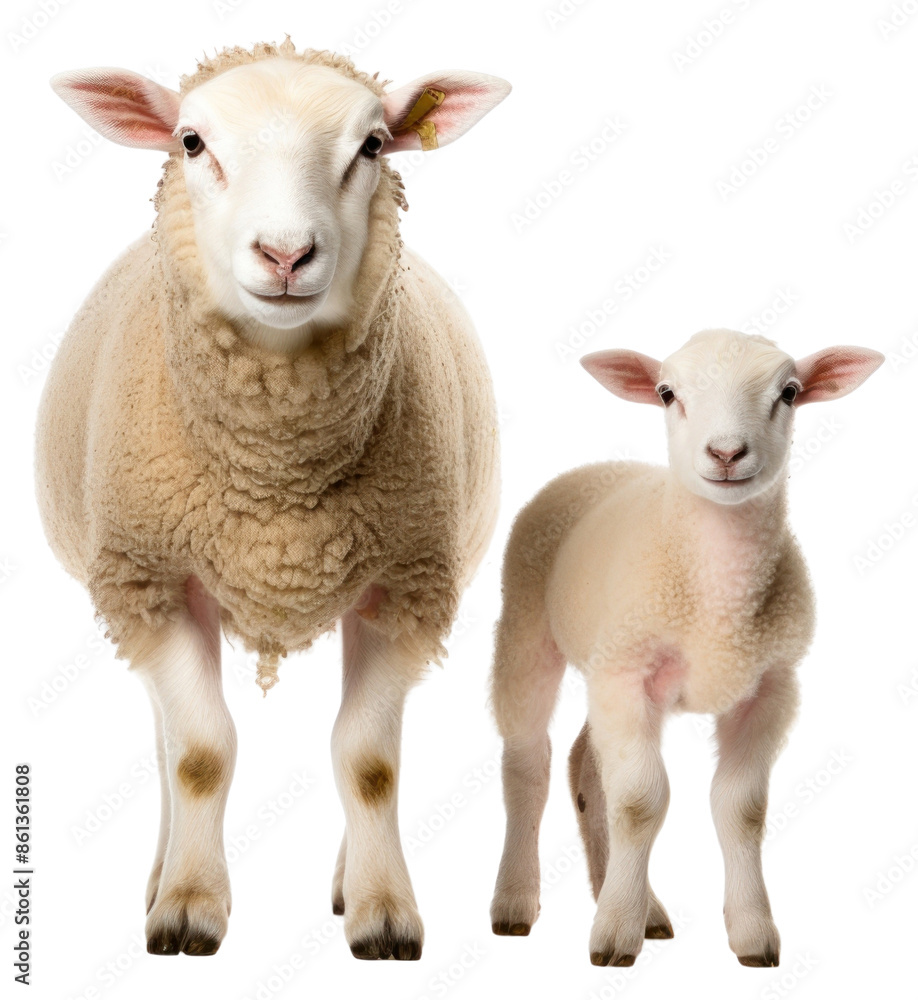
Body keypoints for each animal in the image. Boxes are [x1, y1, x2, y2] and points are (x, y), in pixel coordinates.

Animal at [35, 38, 510, 959]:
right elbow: (198, 753)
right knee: (164, 741)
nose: (286, 255)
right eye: (190, 142)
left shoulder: (405, 584)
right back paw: (160, 873)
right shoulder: (150, 580)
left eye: (373, 145)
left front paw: (383, 912)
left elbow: (368, 760)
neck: (278, 483)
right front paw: (187, 906)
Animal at [488, 329, 883, 967]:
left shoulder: (771, 688)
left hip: (605, 672)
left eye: (790, 392)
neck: (719, 601)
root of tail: (600, 466)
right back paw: (516, 902)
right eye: (666, 393)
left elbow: (741, 809)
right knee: (529, 764)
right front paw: (614, 936)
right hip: (528, 631)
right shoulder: (629, 675)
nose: (726, 453)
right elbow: (640, 802)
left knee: (584, 765)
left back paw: (640, 906)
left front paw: (752, 934)